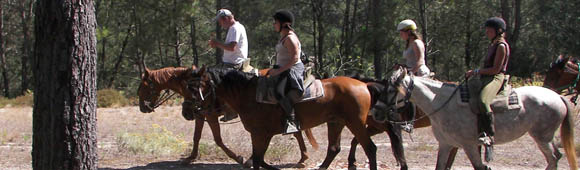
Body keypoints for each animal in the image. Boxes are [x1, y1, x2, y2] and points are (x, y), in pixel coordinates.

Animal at [136, 66, 318, 167]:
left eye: (143, 88)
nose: (143, 108)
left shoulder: (210, 115)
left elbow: (217, 139)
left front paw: (238, 157)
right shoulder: (201, 115)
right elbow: (196, 137)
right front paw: (190, 158)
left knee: (295, 131)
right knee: (296, 130)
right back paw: (302, 158)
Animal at [188, 66, 378, 170]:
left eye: (197, 87)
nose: (190, 110)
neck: (249, 94)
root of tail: (363, 84)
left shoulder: (262, 134)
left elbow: (258, 159)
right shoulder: (257, 135)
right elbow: (258, 159)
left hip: (355, 123)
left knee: (370, 148)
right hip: (336, 122)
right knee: (333, 149)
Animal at [382, 65, 576, 170]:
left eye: (391, 89)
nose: (378, 110)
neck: (442, 103)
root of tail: (557, 96)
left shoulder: (469, 145)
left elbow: (480, 166)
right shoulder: (446, 144)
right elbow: (440, 166)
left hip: (542, 137)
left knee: (553, 158)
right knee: (556, 157)